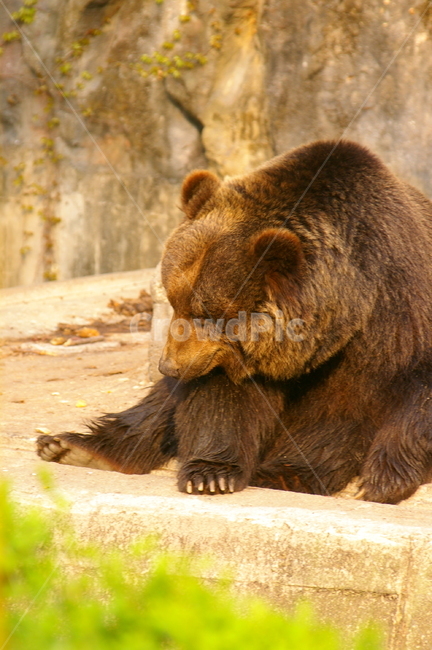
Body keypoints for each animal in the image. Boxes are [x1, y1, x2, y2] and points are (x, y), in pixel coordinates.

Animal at [37, 139, 432, 504]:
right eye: (174, 300)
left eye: (208, 313)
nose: (170, 366)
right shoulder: (232, 357)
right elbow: (225, 398)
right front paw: (211, 474)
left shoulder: (398, 317)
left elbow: (369, 404)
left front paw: (377, 479)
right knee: (155, 406)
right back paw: (73, 446)